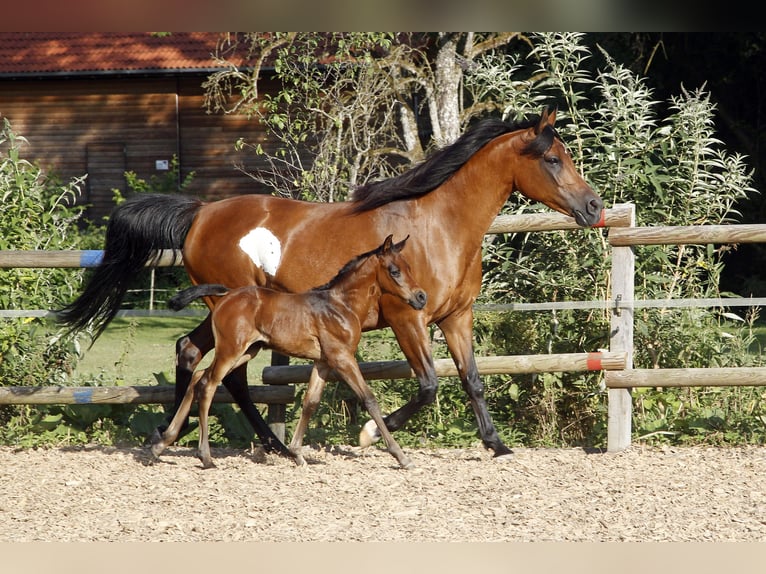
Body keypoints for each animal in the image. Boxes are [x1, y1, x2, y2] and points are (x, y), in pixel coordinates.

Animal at [150, 236, 426, 470]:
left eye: (410, 267)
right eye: (394, 270)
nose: (421, 297)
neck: (340, 306)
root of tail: (227, 295)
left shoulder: (323, 362)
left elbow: (310, 402)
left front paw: (296, 453)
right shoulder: (342, 357)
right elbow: (369, 399)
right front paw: (400, 456)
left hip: (247, 351)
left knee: (199, 378)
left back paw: (161, 444)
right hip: (231, 350)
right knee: (207, 385)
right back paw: (205, 457)